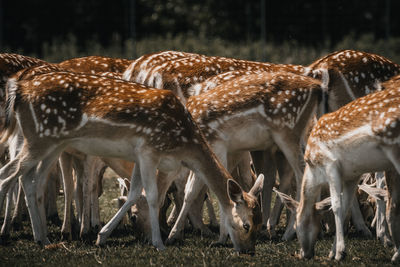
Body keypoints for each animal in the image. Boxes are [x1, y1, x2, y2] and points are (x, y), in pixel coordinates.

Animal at [0, 70, 262, 254]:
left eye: (259, 224)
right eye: (246, 225)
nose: (249, 251)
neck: (183, 145)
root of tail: (19, 90)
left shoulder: (139, 156)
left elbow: (135, 193)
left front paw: (102, 236)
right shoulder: (148, 150)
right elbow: (153, 197)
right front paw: (159, 243)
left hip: (52, 143)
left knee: (31, 180)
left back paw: (42, 238)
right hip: (39, 138)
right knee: (8, 174)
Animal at [276, 78, 400, 262]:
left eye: (296, 226)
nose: (304, 254)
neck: (313, 169)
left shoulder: (331, 165)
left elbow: (336, 205)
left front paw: (340, 252)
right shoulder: (352, 175)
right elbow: (346, 204)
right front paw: (332, 251)